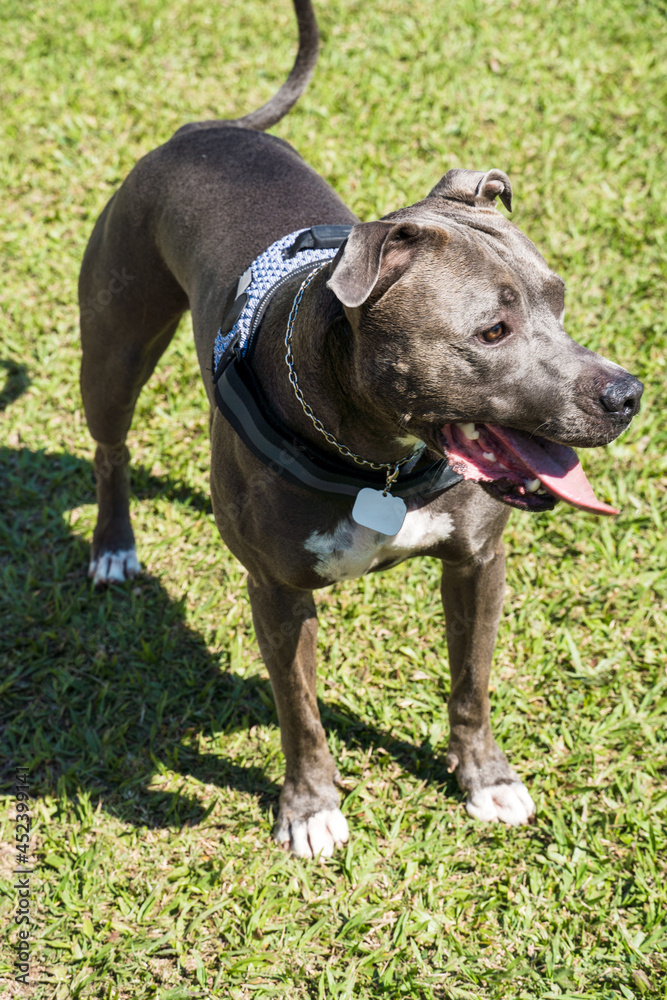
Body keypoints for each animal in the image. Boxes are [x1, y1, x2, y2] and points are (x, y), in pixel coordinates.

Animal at [78, 0, 640, 860]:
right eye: (492, 332)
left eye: (558, 299)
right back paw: (113, 546)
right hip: (114, 348)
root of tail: (201, 129)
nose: (626, 393)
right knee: (111, 448)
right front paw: (308, 808)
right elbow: (300, 714)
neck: (379, 461)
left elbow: (471, 684)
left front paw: (484, 778)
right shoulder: (277, 594)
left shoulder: (477, 563)